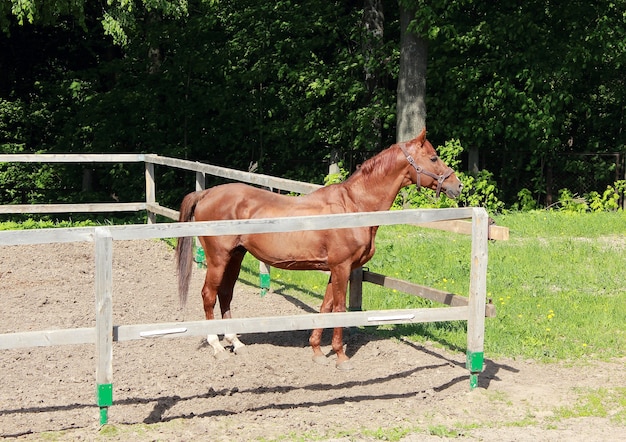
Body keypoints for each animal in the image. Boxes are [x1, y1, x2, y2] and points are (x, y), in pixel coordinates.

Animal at [173, 128, 460, 370]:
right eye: (433, 158)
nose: (457, 186)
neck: (354, 206)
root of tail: (206, 194)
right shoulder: (342, 267)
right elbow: (339, 310)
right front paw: (341, 357)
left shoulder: (336, 269)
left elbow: (325, 308)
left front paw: (317, 351)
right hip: (218, 258)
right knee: (209, 295)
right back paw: (217, 346)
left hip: (235, 256)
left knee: (225, 293)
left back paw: (236, 342)